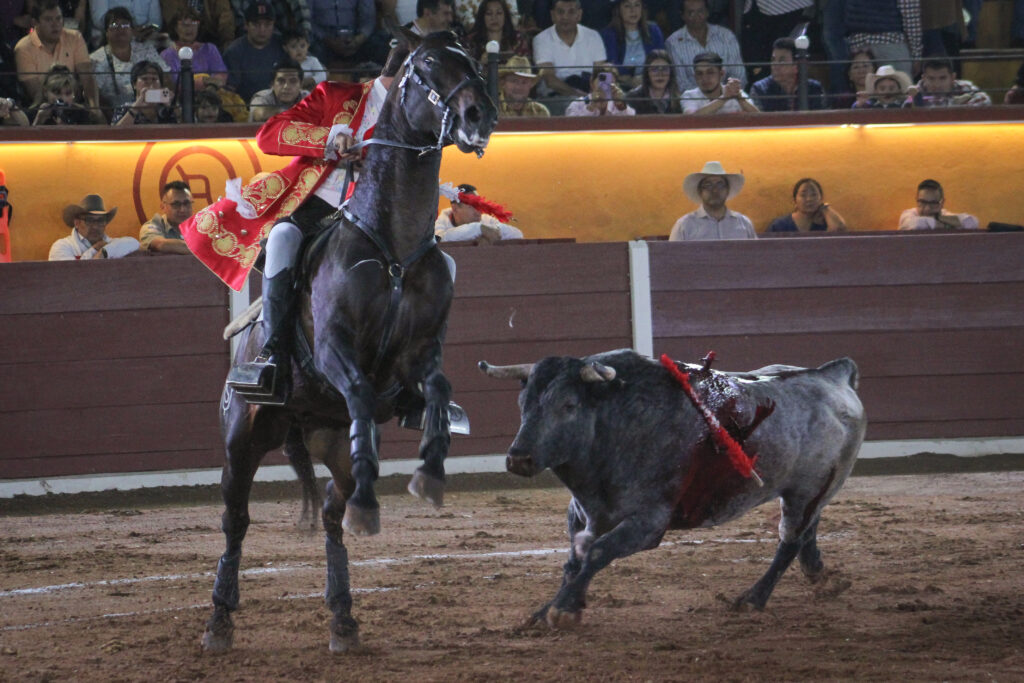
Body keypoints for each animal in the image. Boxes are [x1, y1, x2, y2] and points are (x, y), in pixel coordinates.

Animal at [201, 29, 497, 655]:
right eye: (426, 68)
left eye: (472, 62)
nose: (478, 114)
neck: (393, 243)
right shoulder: (335, 350)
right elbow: (360, 392)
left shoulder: (421, 354)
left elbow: (438, 390)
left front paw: (430, 472)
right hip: (241, 437)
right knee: (235, 520)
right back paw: (218, 621)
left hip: (328, 439)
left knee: (333, 515)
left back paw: (343, 615)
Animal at [479, 352, 864, 630]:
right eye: (523, 404)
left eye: (568, 405)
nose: (519, 458)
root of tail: (832, 375)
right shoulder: (580, 514)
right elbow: (575, 560)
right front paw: (548, 610)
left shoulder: (648, 524)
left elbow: (597, 553)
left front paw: (561, 610)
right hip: (812, 491)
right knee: (808, 530)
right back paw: (818, 573)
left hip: (807, 489)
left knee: (790, 540)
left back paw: (753, 599)